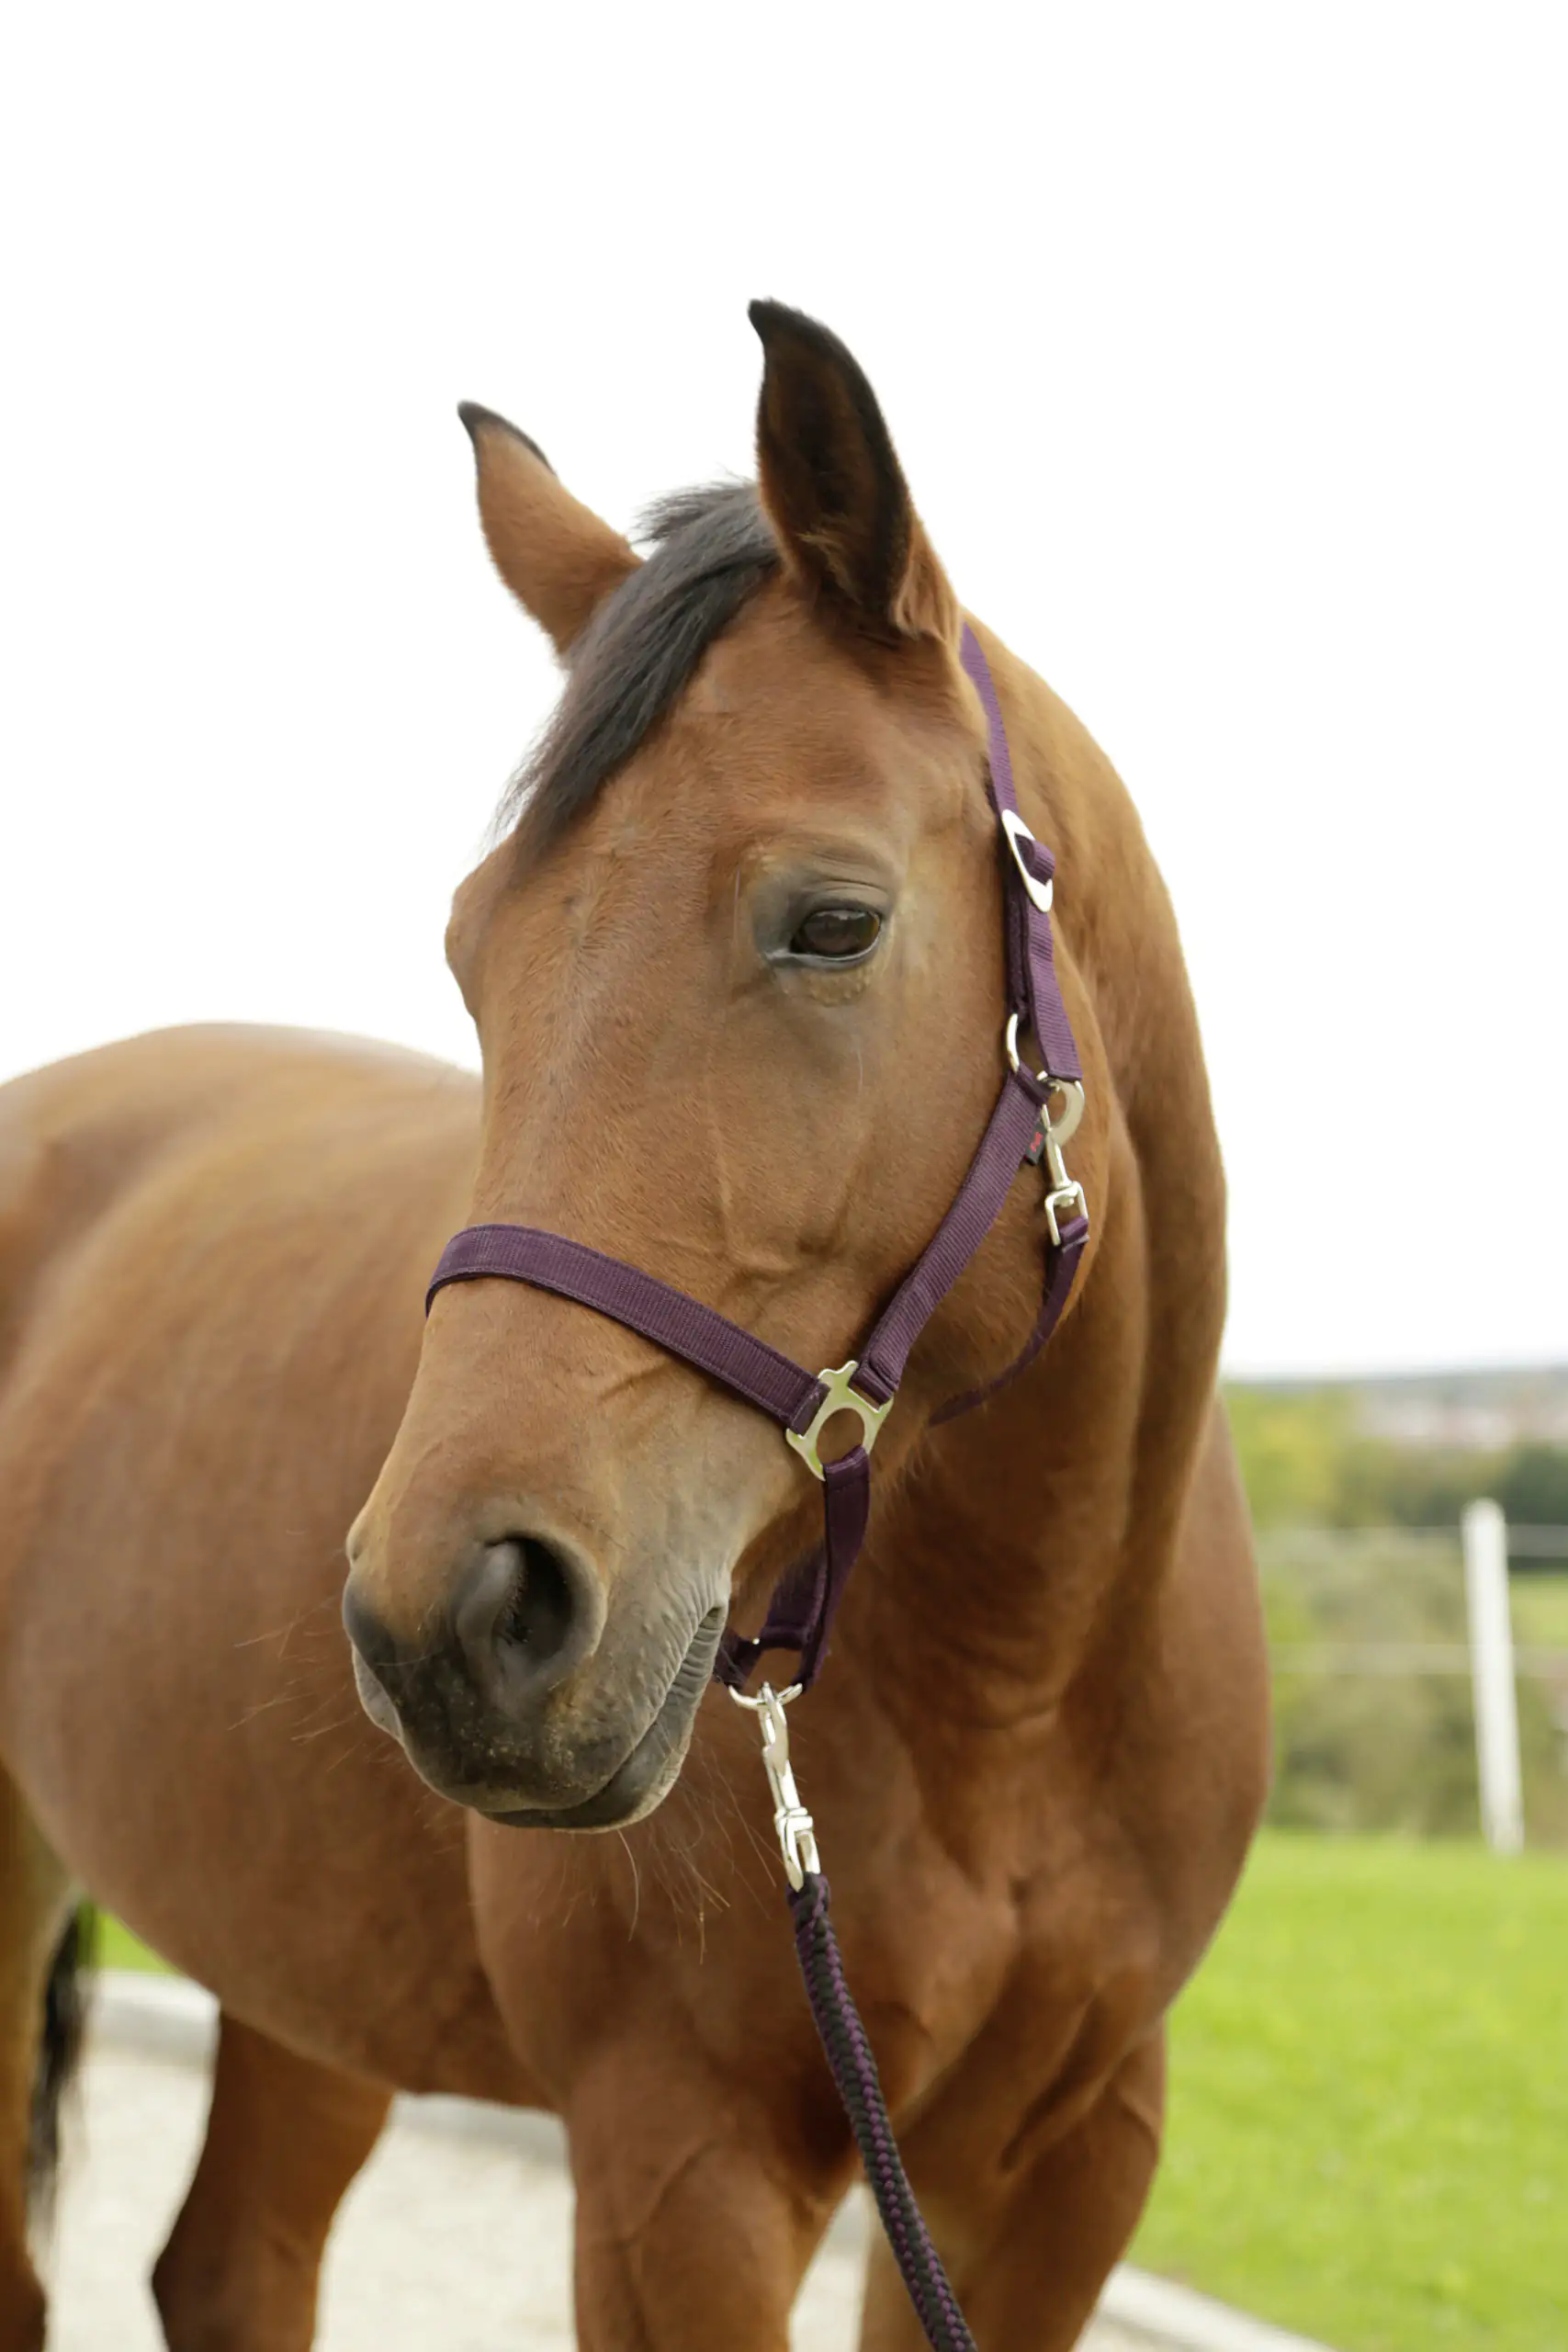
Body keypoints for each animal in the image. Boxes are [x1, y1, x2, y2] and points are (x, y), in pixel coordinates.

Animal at [0, 301, 1268, 2351]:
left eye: (832, 922)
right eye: (471, 949)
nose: (455, 1614)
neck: (1019, 1680)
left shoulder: (1060, 2173)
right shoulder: (680, 2174)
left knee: (231, 2261)